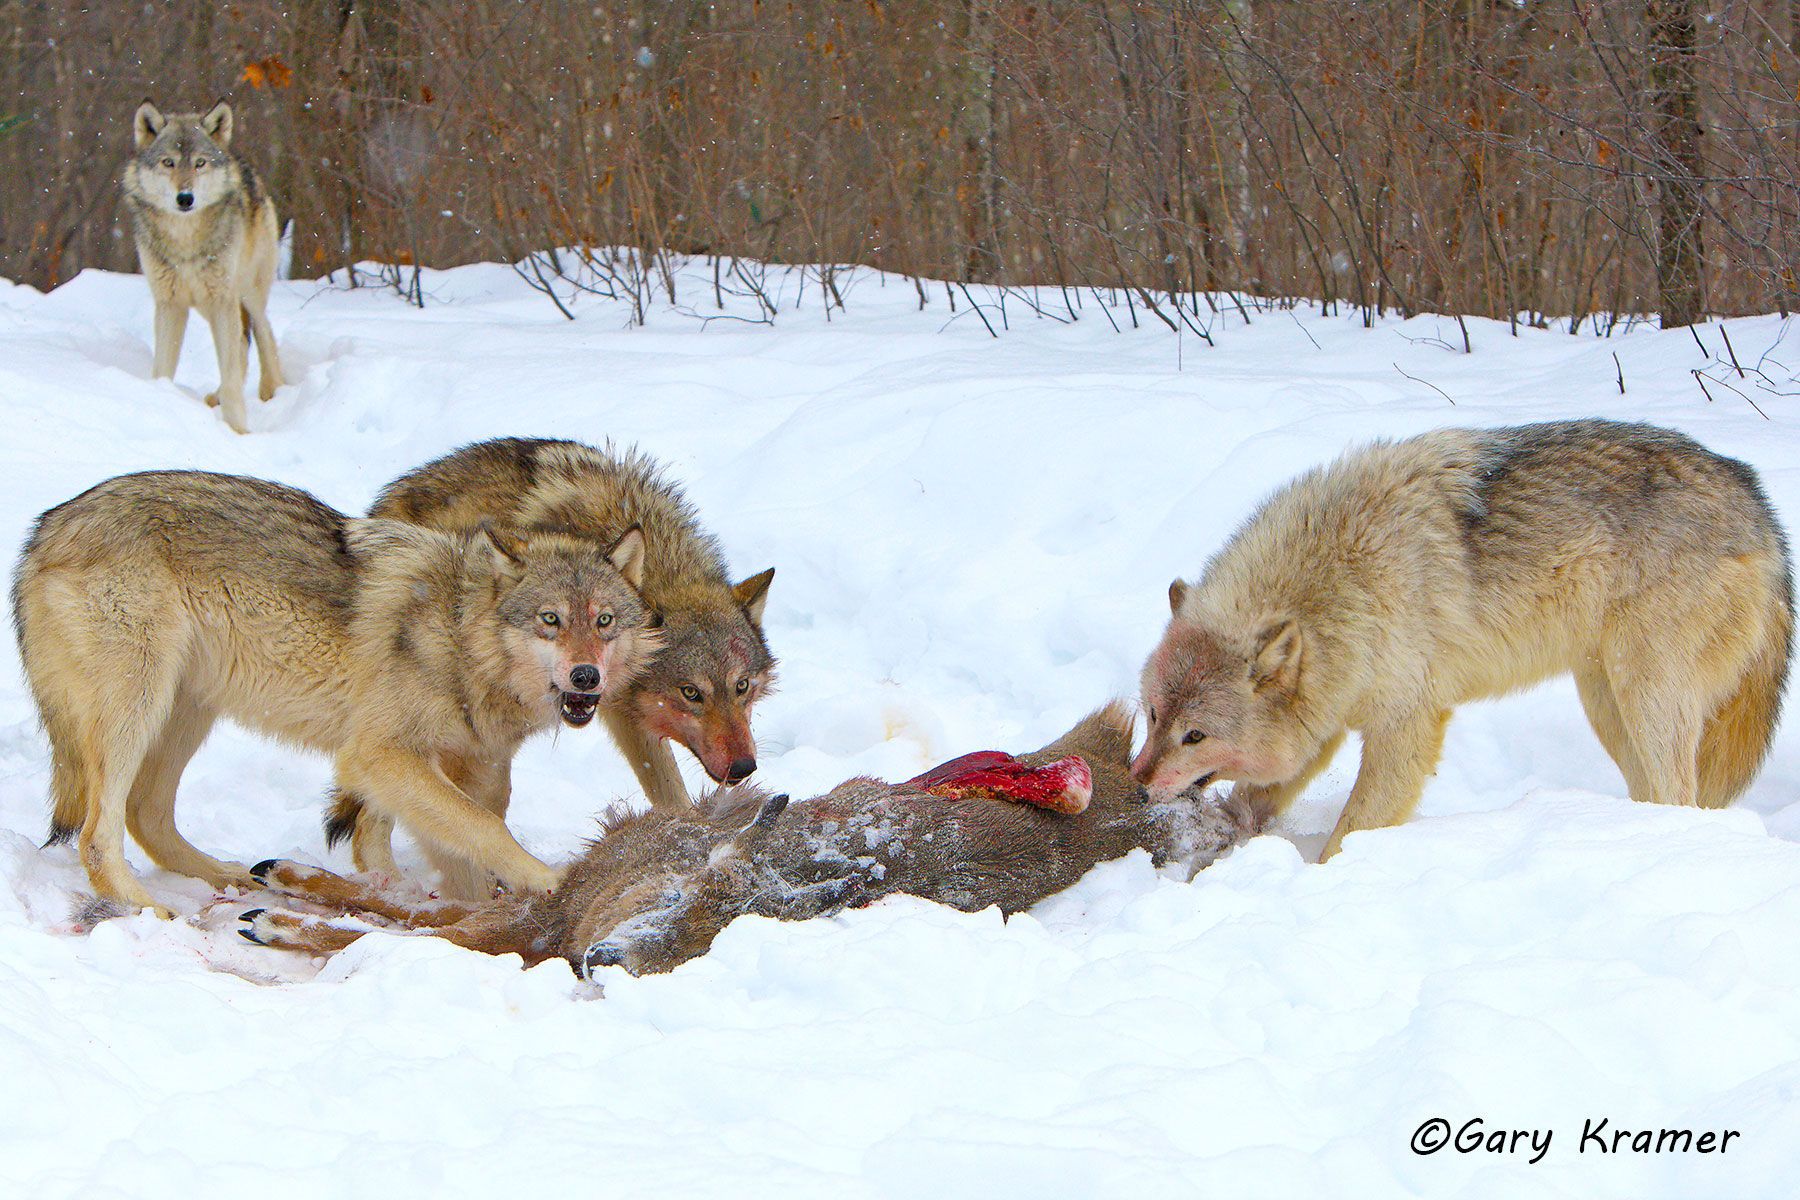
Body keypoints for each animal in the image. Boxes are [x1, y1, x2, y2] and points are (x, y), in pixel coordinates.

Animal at [11, 471, 660, 914]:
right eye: (551, 620)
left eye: (603, 621)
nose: (586, 676)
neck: (457, 637)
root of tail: (47, 527)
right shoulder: (376, 755)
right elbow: (483, 828)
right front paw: (552, 883)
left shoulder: (431, 767)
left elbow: (421, 844)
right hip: (138, 709)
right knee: (98, 834)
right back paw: (148, 908)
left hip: (186, 711)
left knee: (145, 814)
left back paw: (226, 878)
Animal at [121, 100, 283, 434]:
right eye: (168, 163)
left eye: (200, 163)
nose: (185, 198)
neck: (185, 240)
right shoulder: (169, 304)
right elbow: (163, 368)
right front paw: (160, 401)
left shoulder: (223, 300)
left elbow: (233, 377)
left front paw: (238, 432)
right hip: (214, 306)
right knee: (242, 345)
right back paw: (216, 397)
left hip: (246, 293)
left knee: (264, 334)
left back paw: (272, 391)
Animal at [237, 704, 1255, 976]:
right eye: (703, 900)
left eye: (712, 949)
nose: (605, 961)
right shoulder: (575, 892)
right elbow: (422, 921)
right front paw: (279, 912)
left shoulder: (550, 919)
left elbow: (424, 933)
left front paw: (280, 921)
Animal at [328, 438, 777, 872]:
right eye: (691, 693)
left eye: (742, 686)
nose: (744, 768)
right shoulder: (616, 710)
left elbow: (671, 793)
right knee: (373, 822)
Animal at [1133, 419, 1793, 860]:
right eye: (1153, 714)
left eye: (1196, 736)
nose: (1135, 784)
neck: (1343, 582)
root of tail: (1754, 496)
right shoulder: (1329, 718)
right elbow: (1259, 794)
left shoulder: (1408, 727)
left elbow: (1350, 833)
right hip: (1606, 703)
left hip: (1646, 696)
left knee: (1679, 791)